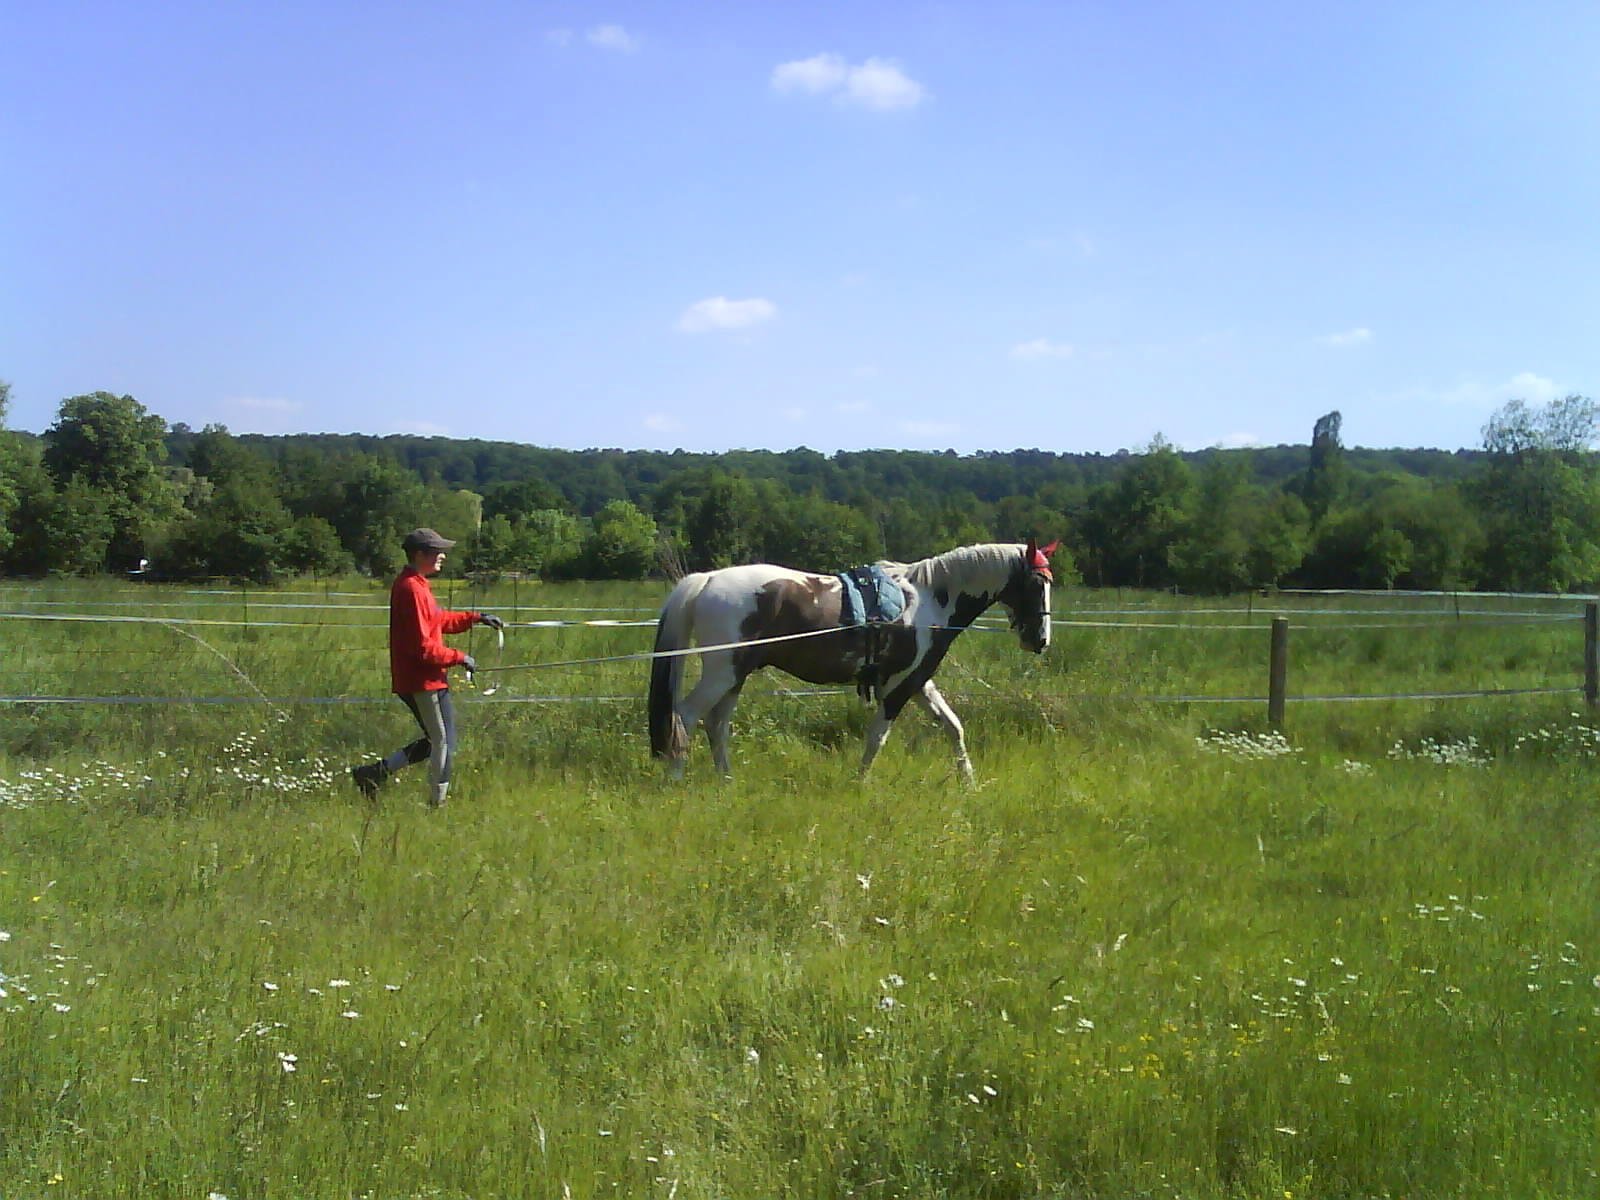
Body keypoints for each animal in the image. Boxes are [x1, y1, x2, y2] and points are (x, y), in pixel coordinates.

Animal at [643, 540, 1056, 784]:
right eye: (1038, 583)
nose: (1040, 640)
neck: (931, 599)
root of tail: (708, 579)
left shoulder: (918, 680)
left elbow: (953, 727)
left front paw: (967, 781)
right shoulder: (898, 686)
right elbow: (878, 737)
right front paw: (861, 782)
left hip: (735, 674)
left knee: (717, 723)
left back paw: (726, 781)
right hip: (722, 671)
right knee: (685, 716)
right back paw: (676, 780)